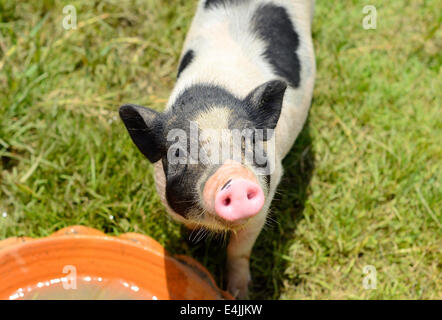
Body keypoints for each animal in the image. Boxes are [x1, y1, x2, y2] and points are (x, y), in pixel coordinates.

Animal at [119, 0, 316, 298]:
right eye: (178, 152)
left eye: (251, 139)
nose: (234, 179)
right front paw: (192, 252)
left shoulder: (267, 194)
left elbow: (239, 250)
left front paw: (239, 293)